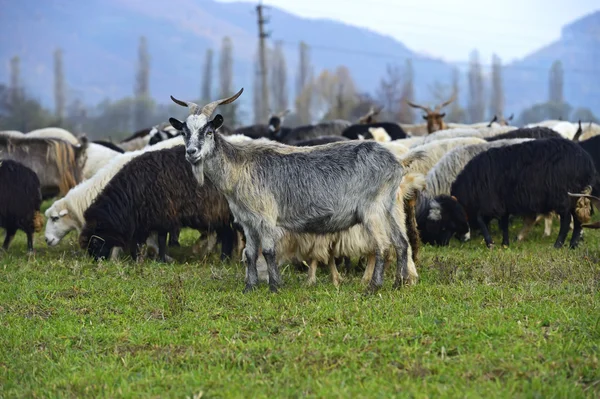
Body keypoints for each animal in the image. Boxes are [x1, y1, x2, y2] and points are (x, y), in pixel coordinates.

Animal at [81, 147, 236, 262]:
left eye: (95, 242)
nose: (95, 260)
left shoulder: (163, 215)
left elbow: (160, 240)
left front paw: (161, 260)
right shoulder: (144, 220)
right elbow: (138, 243)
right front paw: (138, 259)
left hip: (219, 212)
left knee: (228, 235)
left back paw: (224, 260)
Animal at [450, 139, 596, 248]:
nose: (459, 238)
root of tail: (585, 161)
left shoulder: (490, 202)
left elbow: (481, 219)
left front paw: (490, 243)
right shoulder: (502, 203)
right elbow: (503, 223)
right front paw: (505, 244)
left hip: (562, 196)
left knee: (566, 220)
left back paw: (558, 245)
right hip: (575, 196)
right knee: (577, 219)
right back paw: (573, 244)